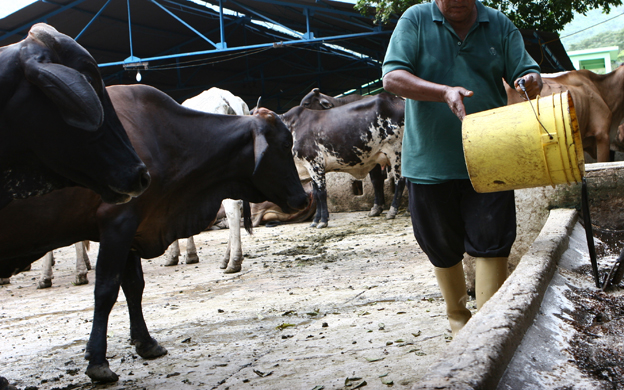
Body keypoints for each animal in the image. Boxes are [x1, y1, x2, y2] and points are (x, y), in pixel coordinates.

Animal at [0, 84, 308, 386]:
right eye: (284, 145)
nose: (303, 198)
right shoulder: (119, 224)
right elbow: (108, 290)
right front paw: (99, 360)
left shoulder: (131, 225)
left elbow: (133, 286)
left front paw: (144, 342)